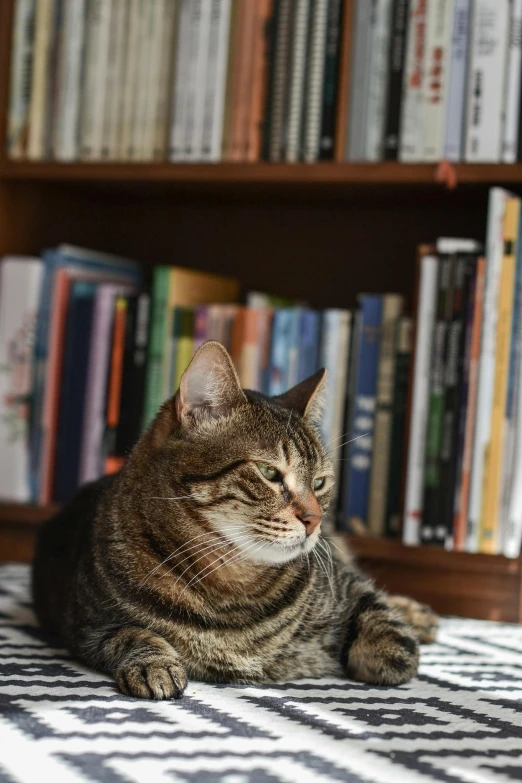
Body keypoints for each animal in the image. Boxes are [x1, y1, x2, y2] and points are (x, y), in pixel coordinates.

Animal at [32, 340, 434, 700]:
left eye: (320, 482)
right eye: (269, 473)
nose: (315, 520)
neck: (232, 587)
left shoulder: (349, 586)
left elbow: (394, 646)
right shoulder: (85, 624)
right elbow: (131, 634)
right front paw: (154, 664)